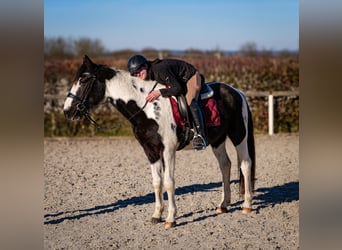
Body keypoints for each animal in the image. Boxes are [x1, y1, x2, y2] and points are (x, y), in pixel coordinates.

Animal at [62, 54, 255, 229]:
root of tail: (238, 92)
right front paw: (156, 215)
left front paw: (170, 219)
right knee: (225, 165)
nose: (67, 111)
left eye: (84, 80)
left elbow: (169, 182)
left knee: (245, 164)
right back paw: (223, 205)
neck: (147, 106)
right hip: (218, 140)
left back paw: (246, 206)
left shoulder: (167, 150)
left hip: (239, 135)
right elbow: (157, 182)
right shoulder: (150, 150)